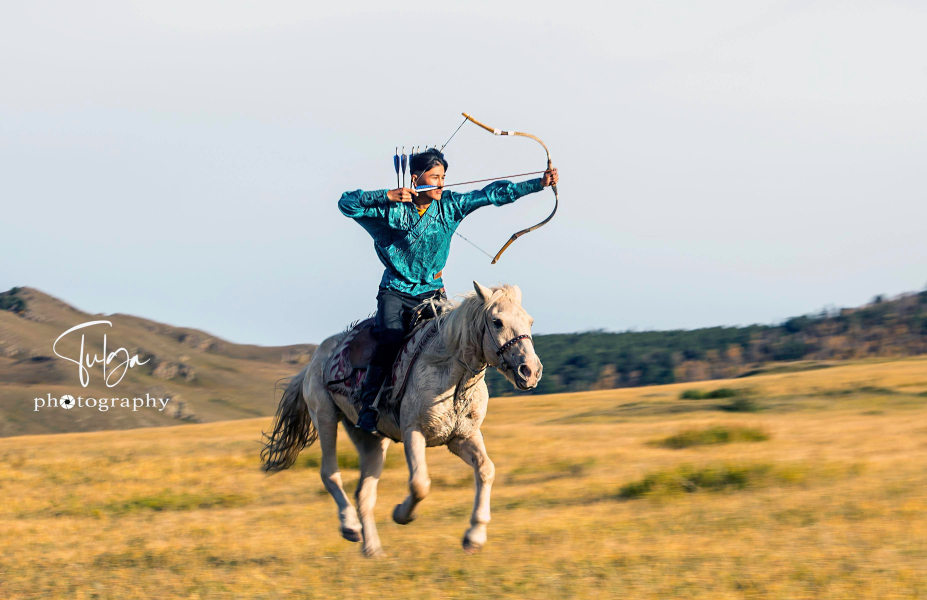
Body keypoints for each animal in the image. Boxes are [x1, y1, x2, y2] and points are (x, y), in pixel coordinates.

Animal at [260, 282, 540, 556]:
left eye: (529, 321)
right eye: (497, 321)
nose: (530, 371)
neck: (449, 372)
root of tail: (313, 363)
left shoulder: (462, 437)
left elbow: (485, 470)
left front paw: (474, 536)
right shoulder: (413, 433)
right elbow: (420, 484)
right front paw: (400, 514)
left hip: (370, 439)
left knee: (364, 493)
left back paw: (372, 549)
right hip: (325, 416)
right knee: (330, 474)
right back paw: (350, 527)